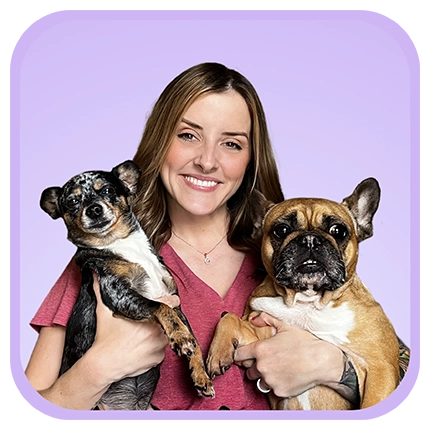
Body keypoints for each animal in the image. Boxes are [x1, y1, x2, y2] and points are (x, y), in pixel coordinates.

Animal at [40, 160, 215, 410]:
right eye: (73, 201)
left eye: (107, 190)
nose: (93, 209)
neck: (122, 245)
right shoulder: (119, 294)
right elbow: (161, 307)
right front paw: (180, 337)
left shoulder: (175, 300)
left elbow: (195, 341)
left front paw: (200, 375)